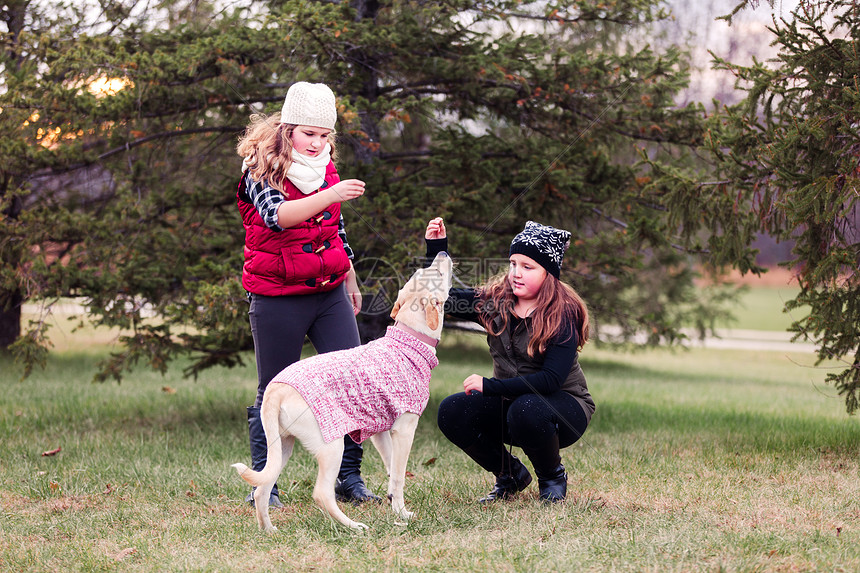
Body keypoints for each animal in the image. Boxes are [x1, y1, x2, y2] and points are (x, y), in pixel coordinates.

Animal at [232, 251, 454, 532]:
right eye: (436, 273)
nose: (442, 253)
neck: (409, 339)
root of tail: (276, 388)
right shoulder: (404, 430)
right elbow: (399, 476)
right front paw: (403, 515)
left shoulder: (381, 433)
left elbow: (392, 472)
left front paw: (397, 511)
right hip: (331, 446)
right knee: (321, 493)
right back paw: (354, 527)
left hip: (282, 447)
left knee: (262, 488)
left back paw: (270, 531)